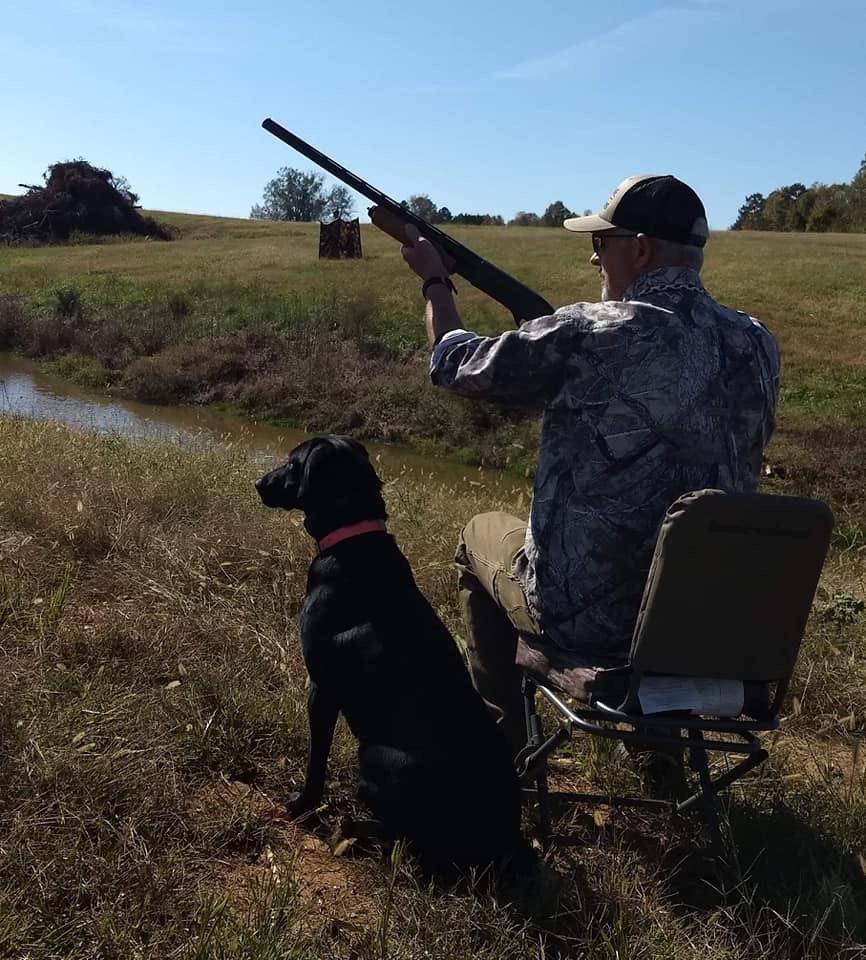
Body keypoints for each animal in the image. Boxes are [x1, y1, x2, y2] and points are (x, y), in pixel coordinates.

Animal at [253, 436, 528, 876]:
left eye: (294, 464)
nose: (259, 483)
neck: (353, 540)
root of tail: (507, 839)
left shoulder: (322, 688)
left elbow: (316, 758)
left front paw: (302, 806)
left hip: (376, 757)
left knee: (407, 838)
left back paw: (351, 828)